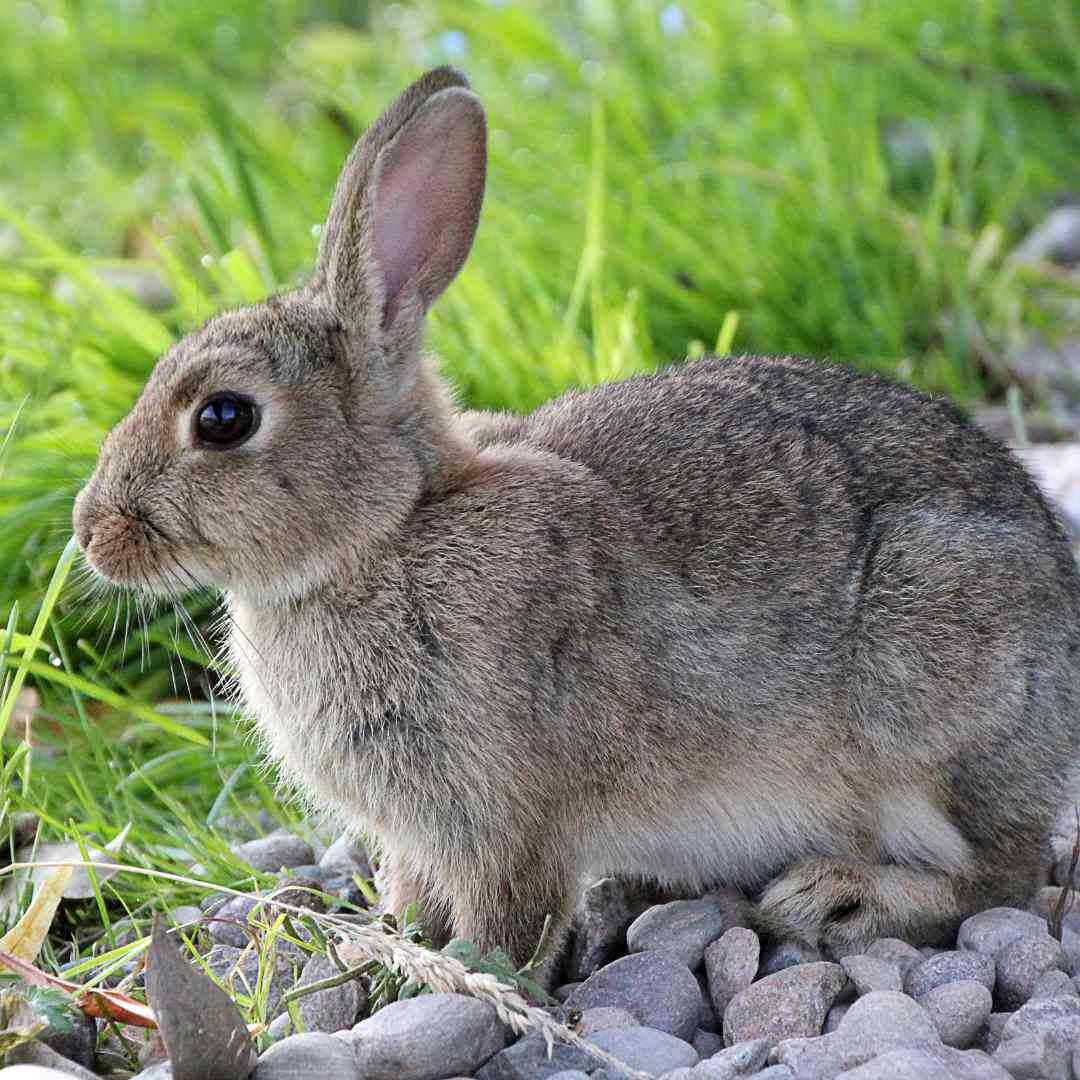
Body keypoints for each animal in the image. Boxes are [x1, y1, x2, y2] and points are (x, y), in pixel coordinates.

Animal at [73, 63, 1080, 967]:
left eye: (224, 419)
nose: (91, 531)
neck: (389, 533)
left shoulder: (505, 815)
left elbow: (506, 920)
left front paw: (458, 981)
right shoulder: (420, 831)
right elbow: (415, 891)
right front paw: (390, 943)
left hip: (934, 713)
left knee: (1005, 873)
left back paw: (841, 898)